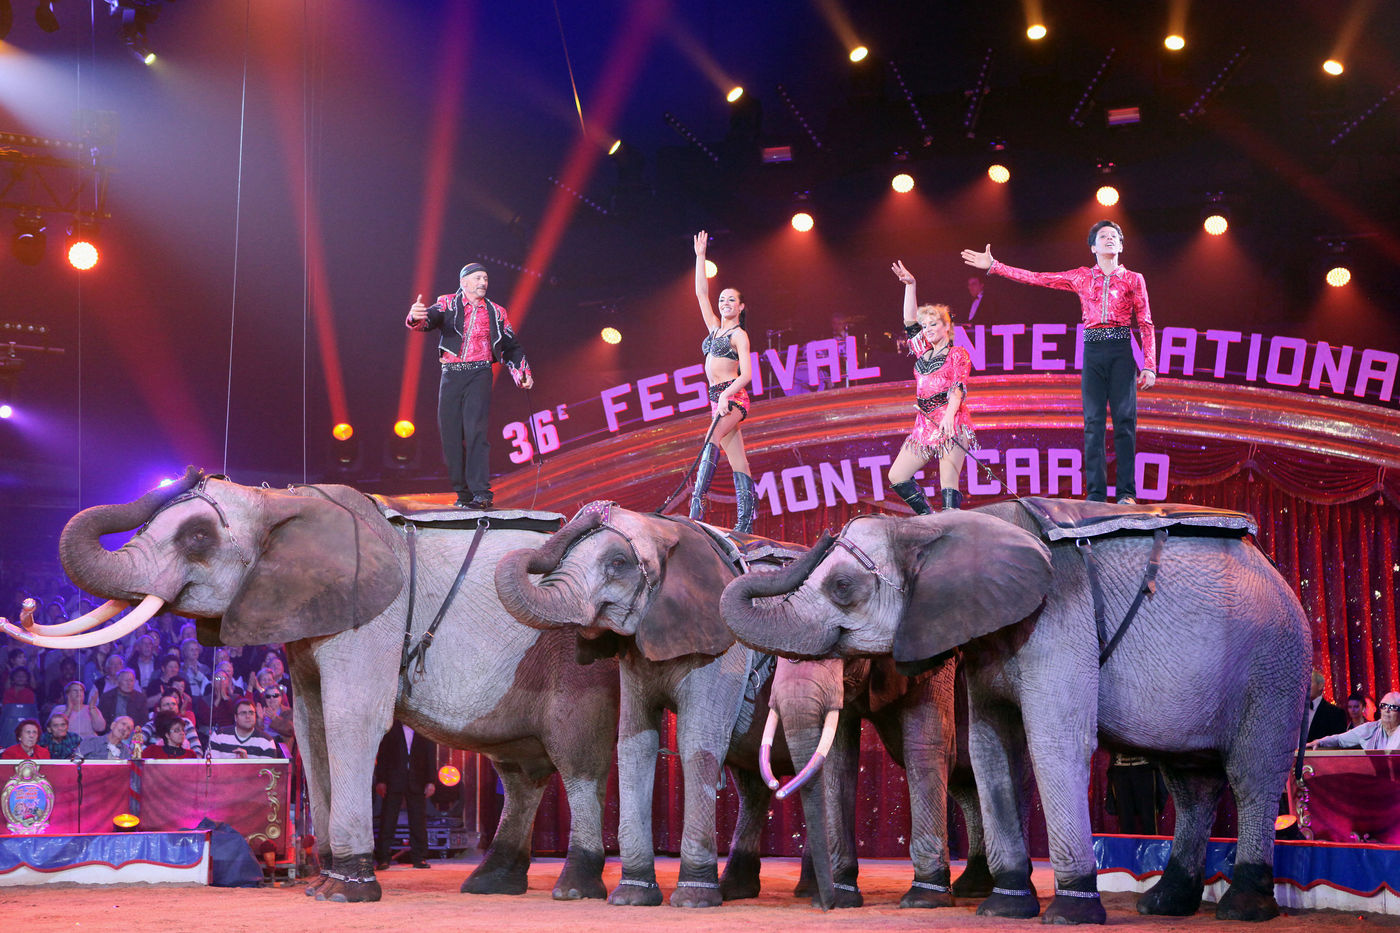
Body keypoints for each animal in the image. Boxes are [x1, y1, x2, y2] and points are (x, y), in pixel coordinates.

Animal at [2, 467, 620, 903]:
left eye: (198, 536)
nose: (26, 605)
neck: (280, 501)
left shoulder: (371, 619)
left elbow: (351, 718)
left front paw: (345, 891)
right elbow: (310, 723)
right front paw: (322, 884)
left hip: (577, 656)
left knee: (575, 759)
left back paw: (574, 886)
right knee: (519, 769)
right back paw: (490, 883)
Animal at [720, 501, 1311, 924]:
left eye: (842, 586)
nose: (822, 532)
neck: (938, 527)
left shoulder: (1060, 620)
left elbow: (1053, 742)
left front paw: (1069, 911)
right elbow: (990, 748)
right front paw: (1005, 907)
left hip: (1275, 664)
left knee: (1252, 774)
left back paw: (1244, 906)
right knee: (1191, 783)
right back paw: (1165, 904)